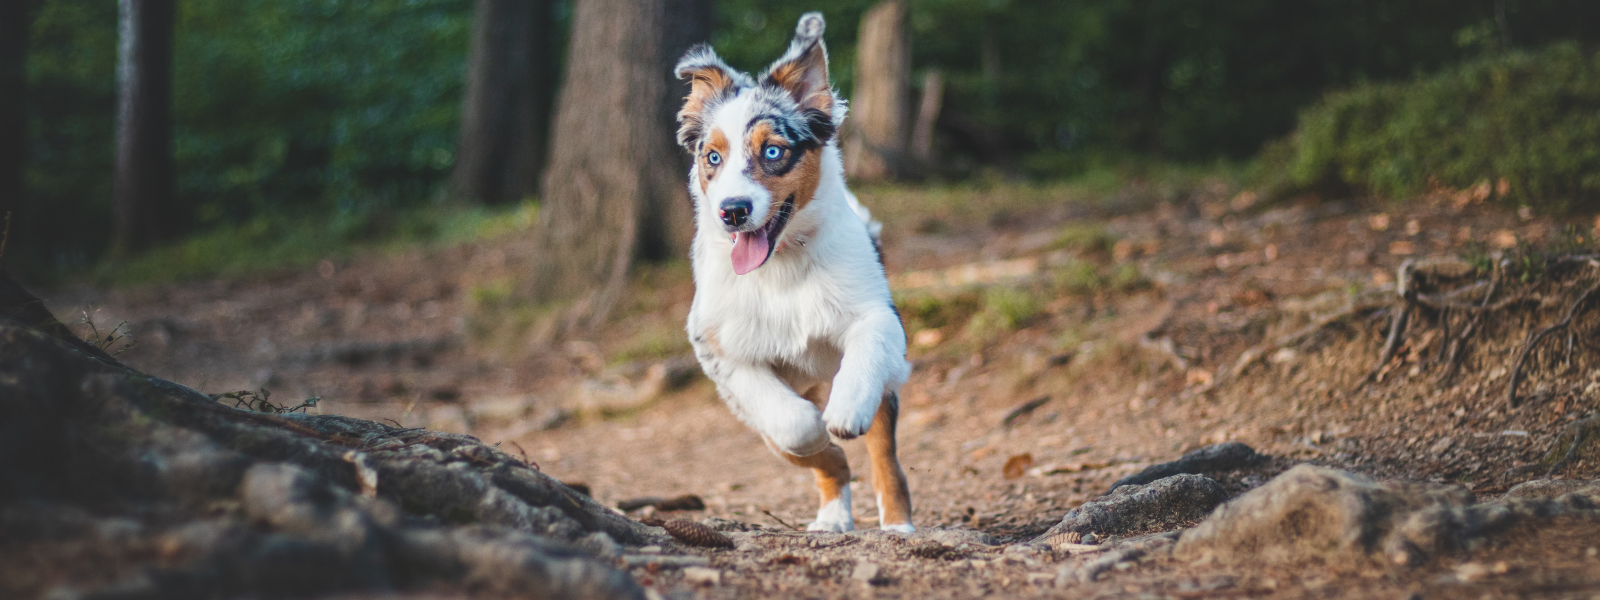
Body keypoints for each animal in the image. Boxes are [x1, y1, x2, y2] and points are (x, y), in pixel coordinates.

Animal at [668, 11, 915, 534]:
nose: (733, 211)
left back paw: (897, 524)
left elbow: (864, 355)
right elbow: (796, 426)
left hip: (886, 389)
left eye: (773, 152)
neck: (781, 268)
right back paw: (831, 514)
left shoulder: (880, 316)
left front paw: (843, 412)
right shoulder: (718, 351)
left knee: (885, 457)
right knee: (814, 455)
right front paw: (823, 438)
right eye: (712, 157)